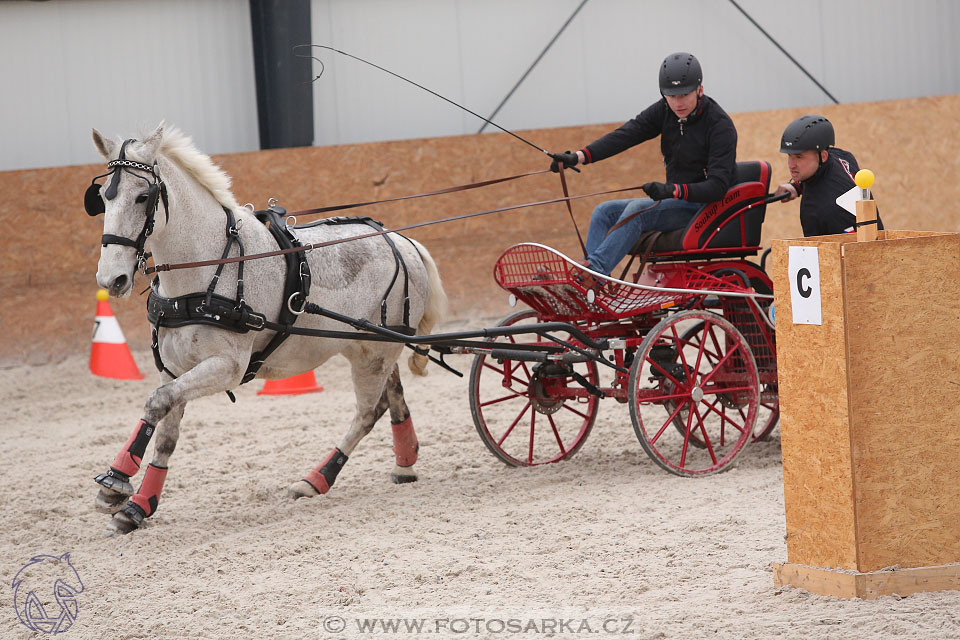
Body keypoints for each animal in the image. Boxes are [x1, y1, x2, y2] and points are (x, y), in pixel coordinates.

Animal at [89, 124, 446, 536]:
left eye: (143, 196)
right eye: (103, 196)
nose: (111, 279)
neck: (208, 269)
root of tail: (404, 241)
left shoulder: (226, 367)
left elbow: (156, 402)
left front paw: (115, 482)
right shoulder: (174, 368)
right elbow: (166, 433)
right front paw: (138, 506)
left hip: (374, 354)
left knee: (368, 412)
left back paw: (317, 478)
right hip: (371, 345)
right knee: (394, 400)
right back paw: (403, 463)